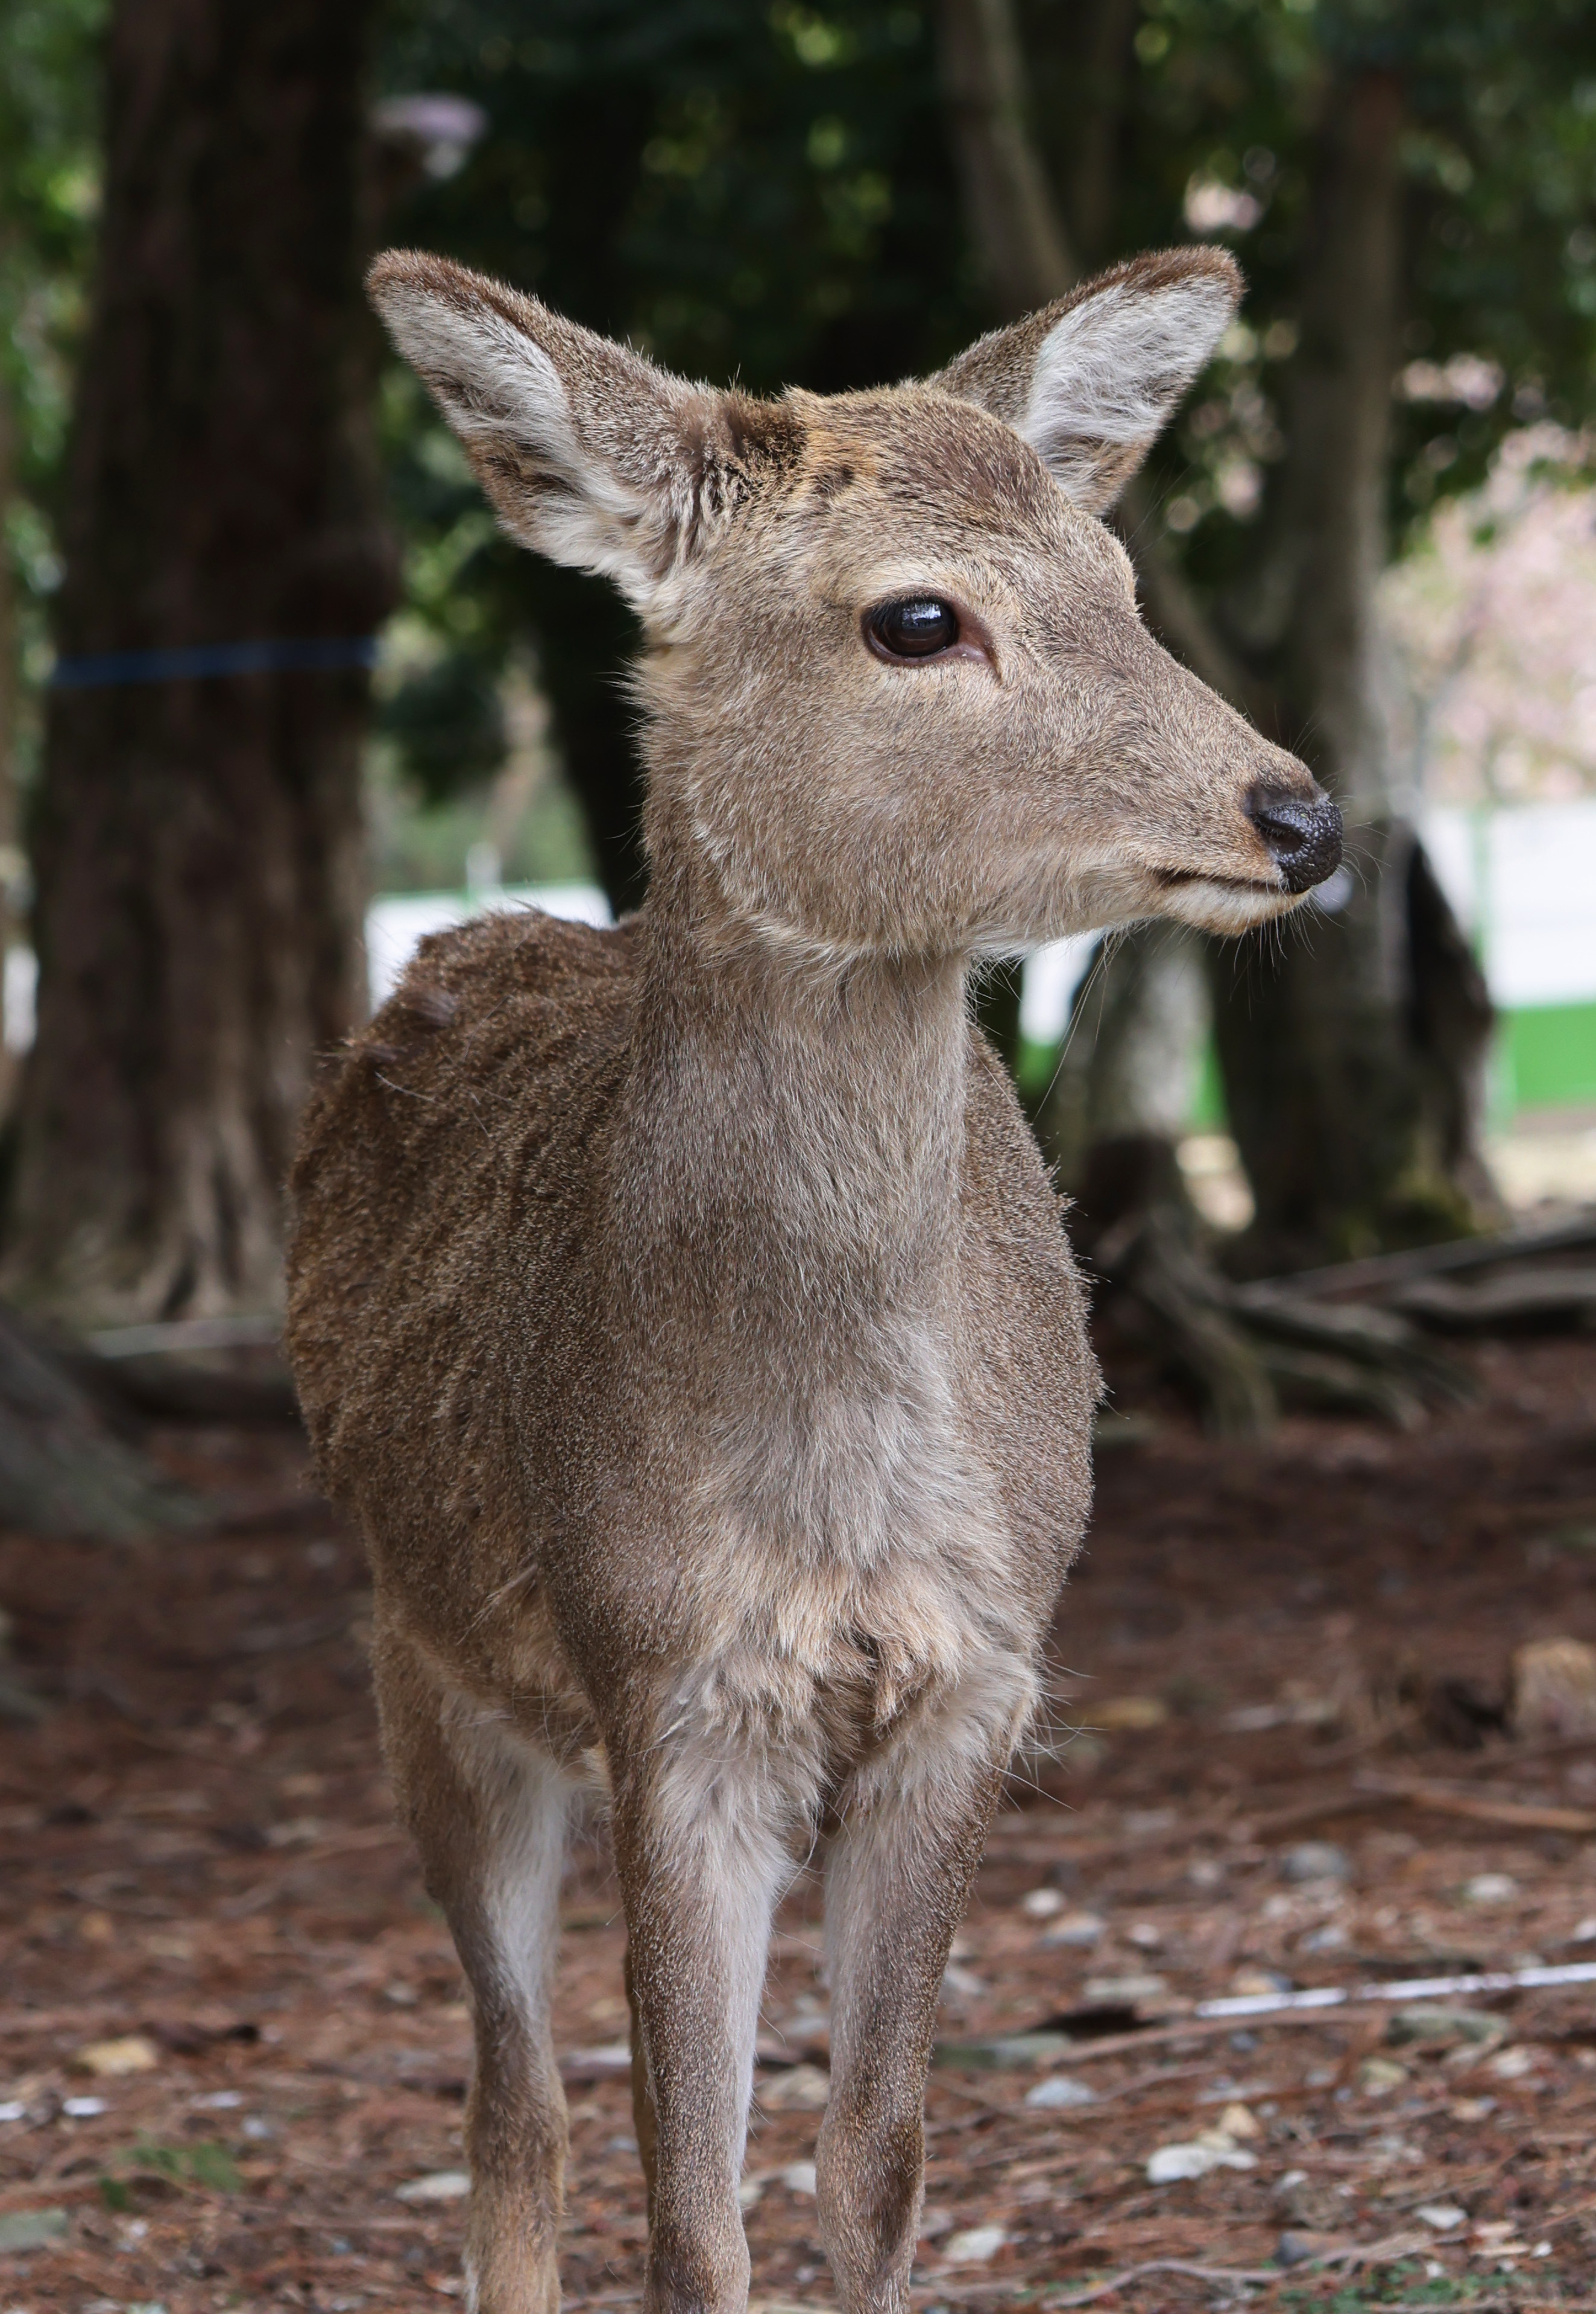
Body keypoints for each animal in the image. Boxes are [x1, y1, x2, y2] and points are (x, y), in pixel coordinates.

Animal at [285, 240, 1342, 2314]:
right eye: (915, 618)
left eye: (1120, 579)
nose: (1297, 815)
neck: (835, 1473)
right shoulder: (666, 1679)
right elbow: (691, 2206)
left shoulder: (980, 1670)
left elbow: (878, 2169)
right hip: (413, 1652)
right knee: (509, 2106)